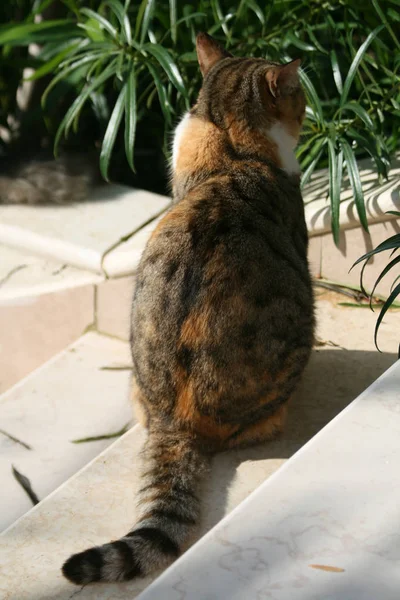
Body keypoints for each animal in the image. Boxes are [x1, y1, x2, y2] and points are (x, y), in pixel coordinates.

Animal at [61, 32, 316, 584]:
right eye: (300, 95)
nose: (309, 108)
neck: (231, 144)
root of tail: (175, 420)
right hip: (298, 335)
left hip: (134, 377)